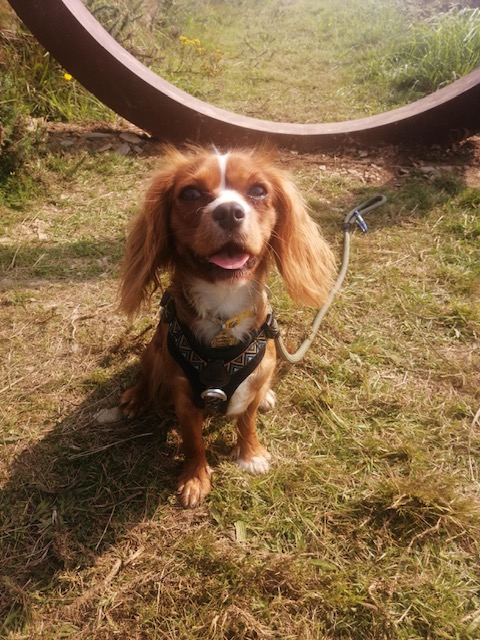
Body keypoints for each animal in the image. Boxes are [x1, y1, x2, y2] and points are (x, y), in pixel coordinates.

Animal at [119, 146, 335, 508]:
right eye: (190, 194)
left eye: (259, 191)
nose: (230, 212)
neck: (223, 308)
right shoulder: (184, 396)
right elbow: (194, 442)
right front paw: (195, 479)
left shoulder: (254, 380)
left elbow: (247, 421)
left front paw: (250, 455)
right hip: (154, 351)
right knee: (147, 374)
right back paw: (136, 397)